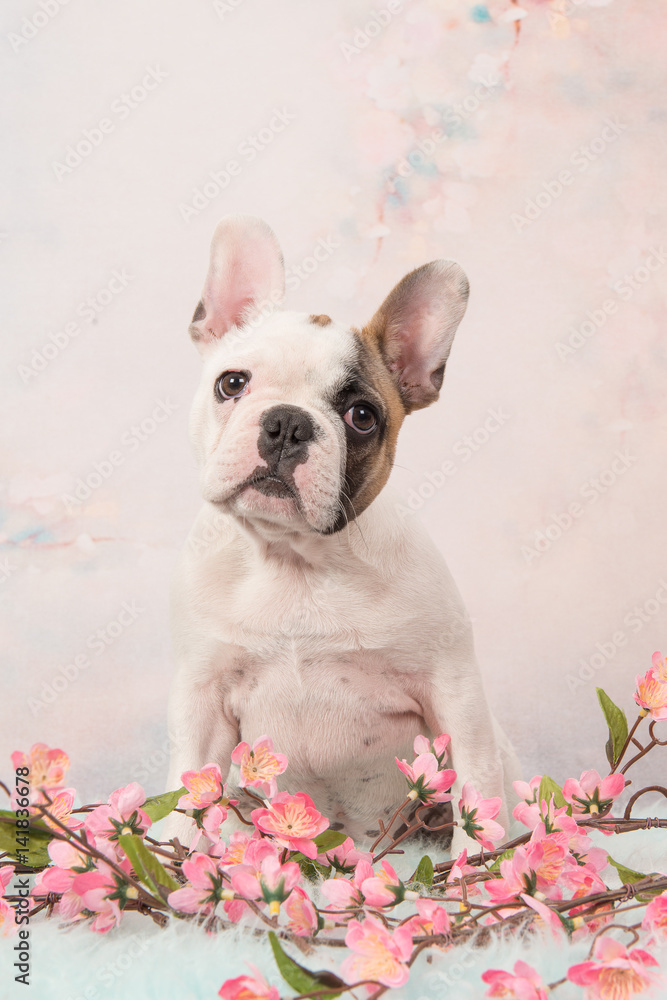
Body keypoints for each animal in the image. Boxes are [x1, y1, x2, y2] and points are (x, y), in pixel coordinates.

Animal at [164, 217, 520, 852]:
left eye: (362, 417)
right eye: (232, 383)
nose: (287, 423)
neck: (293, 560)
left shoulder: (453, 688)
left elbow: (478, 787)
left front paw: (478, 864)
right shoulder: (202, 696)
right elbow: (190, 794)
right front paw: (167, 857)